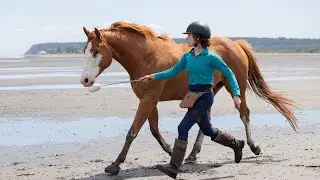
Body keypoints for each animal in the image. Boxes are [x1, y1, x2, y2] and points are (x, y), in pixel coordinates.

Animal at [80, 20, 300, 174]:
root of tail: (236, 44)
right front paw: (171, 151)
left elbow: (132, 132)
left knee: (244, 113)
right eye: (85, 50)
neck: (147, 56)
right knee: (206, 122)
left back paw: (253, 147)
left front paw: (115, 165)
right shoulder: (149, 101)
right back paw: (193, 154)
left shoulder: (148, 100)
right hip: (213, 90)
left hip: (237, 88)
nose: (85, 80)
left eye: (96, 51)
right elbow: (154, 130)